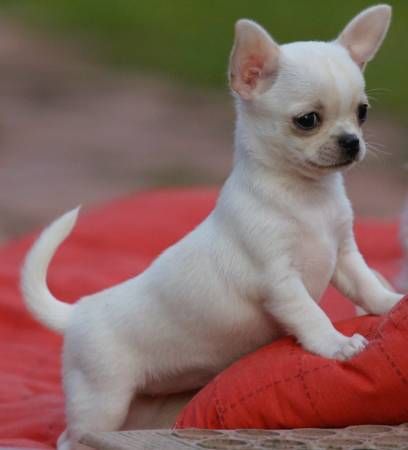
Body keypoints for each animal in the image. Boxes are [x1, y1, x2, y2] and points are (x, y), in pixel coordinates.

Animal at [20, 4, 404, 450]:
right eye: (308, 120)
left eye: (362, 113)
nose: (351, 142)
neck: (307, 197)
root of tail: (78, 311)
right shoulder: (279, 281)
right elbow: (311, 314)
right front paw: (337, 344)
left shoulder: (343, 255)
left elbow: (367, 286)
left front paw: (393, 303)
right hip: (103, 398)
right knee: (71, 437)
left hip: (141, 404)